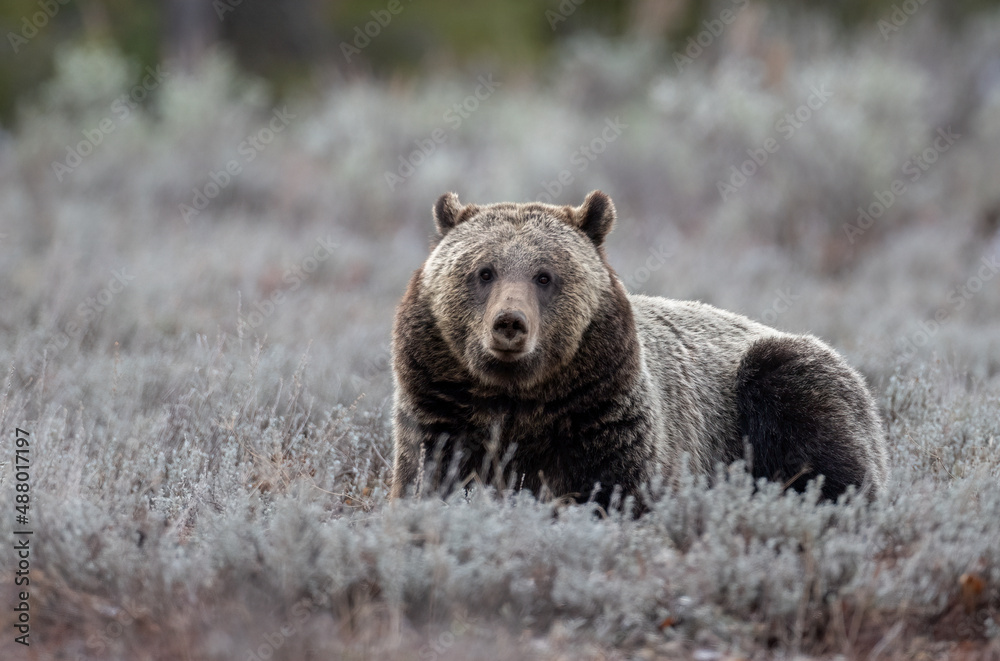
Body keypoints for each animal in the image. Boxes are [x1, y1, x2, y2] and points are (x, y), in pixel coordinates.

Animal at [390, 188, 892, 508]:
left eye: (545, 275)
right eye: (484, 271)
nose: (509, 324)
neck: (519, 396)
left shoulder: (602, 412)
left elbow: (619, 487)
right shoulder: (440, 403)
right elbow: (430, 476)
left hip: (782, 378)